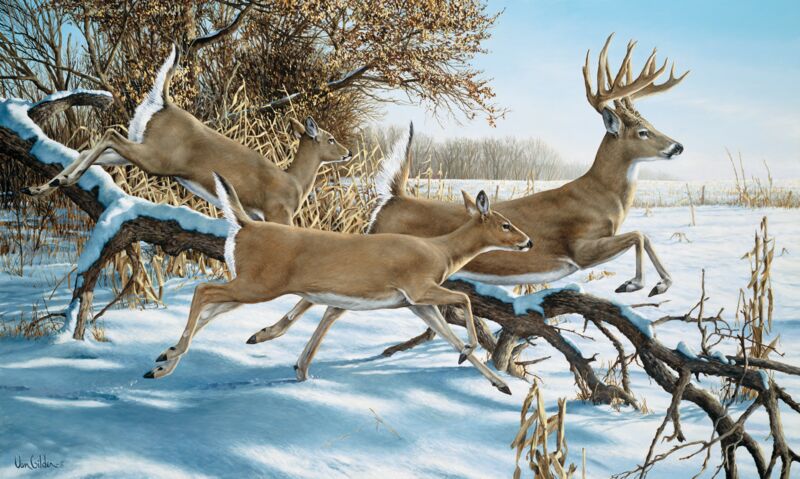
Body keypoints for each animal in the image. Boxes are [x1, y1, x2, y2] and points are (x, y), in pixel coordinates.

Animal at [22, 46, 352, 225]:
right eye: (331, 138)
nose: (349, 152)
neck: (294, 183)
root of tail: (163, 103)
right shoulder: (277, 214)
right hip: (156, 158)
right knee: (110, 133)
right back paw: (61, 181)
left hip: (141, 150)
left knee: (88, 149)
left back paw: (44, 186)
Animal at [142, 172, 532, 394]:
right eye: (506, 224)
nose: (528, 242)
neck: (442, 252)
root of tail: (245, 225)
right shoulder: (418, 288)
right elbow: (463, 303)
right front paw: (471, 354)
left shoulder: (414, 304)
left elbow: (448, 333)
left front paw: (500, 384)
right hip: (258, 284)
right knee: (202, 291)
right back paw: (166, 360)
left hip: (251, 283)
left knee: (210, 308)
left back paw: (161, 362)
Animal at [246, 33, 688, 373]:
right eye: (643, 131)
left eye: (653, 125)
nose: (678, 146)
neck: (601, 195)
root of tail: (393, 197)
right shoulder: (579, 248)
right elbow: (640, 234)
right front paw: (642, 284)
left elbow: (641, 235)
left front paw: (649, 283)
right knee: (328, 299)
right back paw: (273, 341)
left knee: (331, 302)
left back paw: (290, 355)